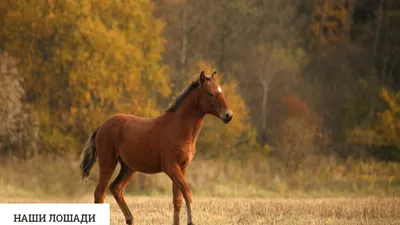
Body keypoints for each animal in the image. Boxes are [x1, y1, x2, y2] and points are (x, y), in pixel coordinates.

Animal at [79, 71, 233, 225]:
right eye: (210, 93)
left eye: (222, 92)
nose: (228, 115)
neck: (178, 127)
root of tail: (101, 127)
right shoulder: (170, 167)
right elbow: (187, 192)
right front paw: (191, 221)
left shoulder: (182, 167)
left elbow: (177, 199)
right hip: (108, 163)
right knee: (100, 193)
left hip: (129, 167)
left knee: (116, 188)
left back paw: (130, 219)